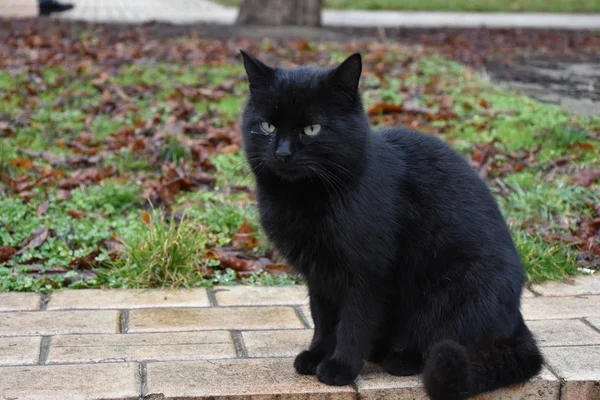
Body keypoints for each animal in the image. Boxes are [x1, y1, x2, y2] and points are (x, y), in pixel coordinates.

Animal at [239, 50, 544, 400]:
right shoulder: (319, 274)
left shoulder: (368, 272)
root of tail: (517, 320)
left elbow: (354, 322)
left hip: (453, 287)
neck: (303, 198)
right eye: (267, 126)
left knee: (442, 335)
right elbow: (323, 318)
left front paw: (340, 366)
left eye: (312, 129)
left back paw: (400, 358)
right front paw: (317, 354)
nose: (283, 153)